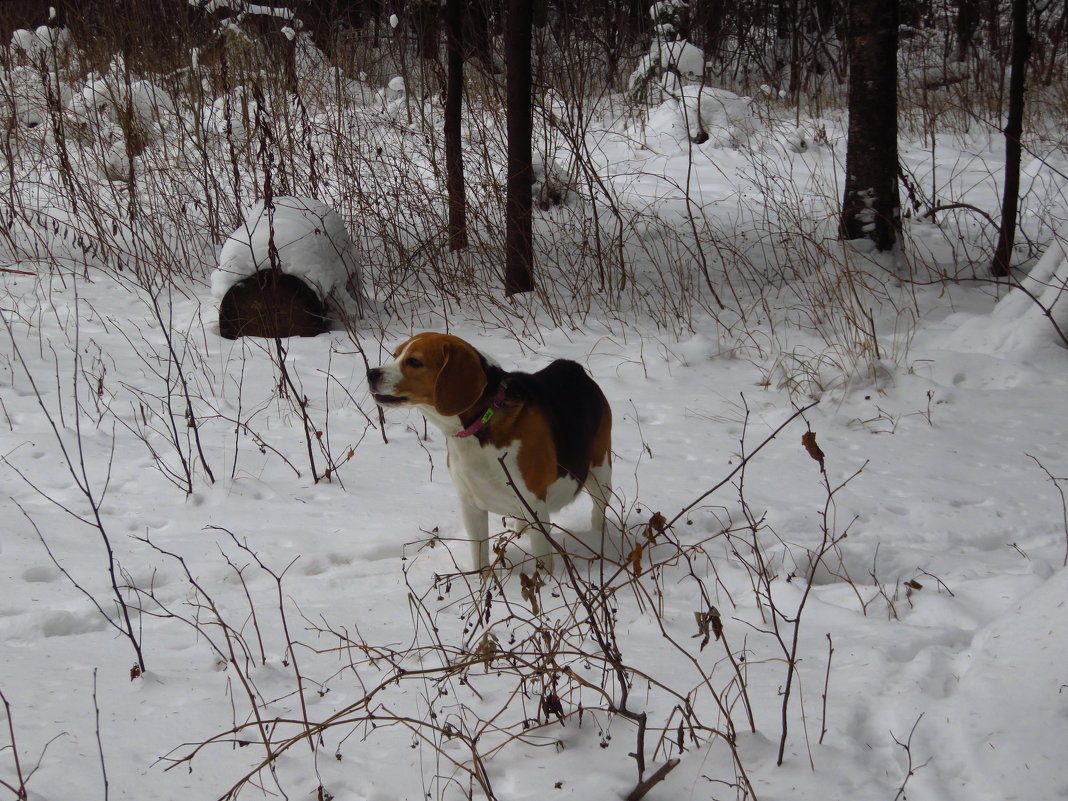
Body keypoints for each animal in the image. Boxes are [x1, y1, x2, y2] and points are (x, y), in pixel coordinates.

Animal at [371, 333, 615, 572]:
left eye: (414, 362)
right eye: (395, 354)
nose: (371, 373)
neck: (479, 425)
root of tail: (571, 366)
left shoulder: (534, 503)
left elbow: (542, 561)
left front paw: (543, 582)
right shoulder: (471, 505)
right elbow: (479, 558)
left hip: (601, 475)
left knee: (598, 511)